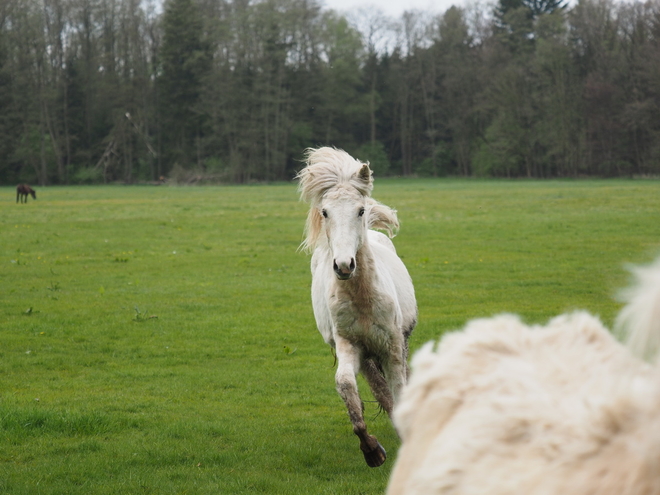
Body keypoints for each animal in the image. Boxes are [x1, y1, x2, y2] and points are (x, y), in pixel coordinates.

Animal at [298, 146, 418, 468]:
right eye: (325, 212)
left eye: (360, 211)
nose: (343, 265)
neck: (362, 298)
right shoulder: (350, 346)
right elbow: (346, 386)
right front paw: (372, 450)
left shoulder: (392, 346)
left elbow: (399, 388)